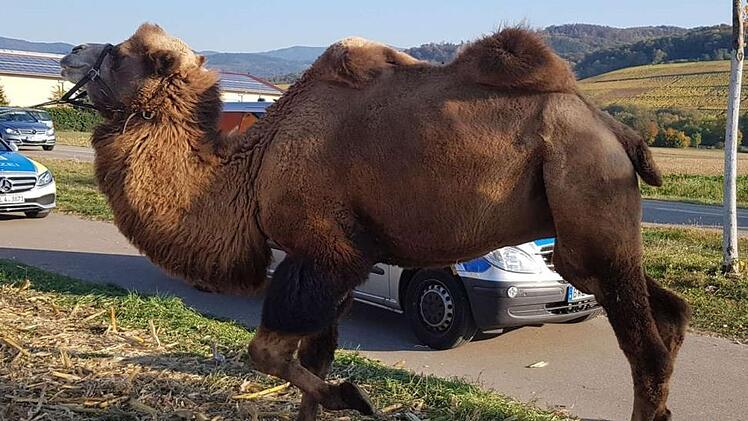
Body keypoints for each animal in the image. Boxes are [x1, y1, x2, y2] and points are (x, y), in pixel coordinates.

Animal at [60, 24, 691, 421]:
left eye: (122, 53)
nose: (70, 52)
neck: (253, 165)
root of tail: (616, 133)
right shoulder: (333, 263)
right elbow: (312, 357)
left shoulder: (327, 254)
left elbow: (267, 353)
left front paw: (356, 399)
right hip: (592, 236)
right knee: (668, 314)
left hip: (585, 186)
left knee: (645, 346)